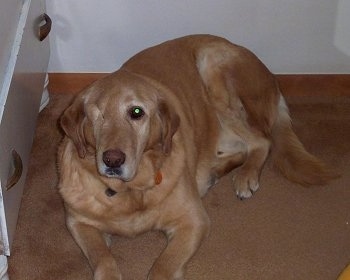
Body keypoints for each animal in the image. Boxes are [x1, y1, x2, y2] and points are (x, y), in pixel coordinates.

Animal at [58, 34, 336, 278]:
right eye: (97, 115)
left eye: (136, 112)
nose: (112, 160)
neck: (131, 192)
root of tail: (272, 78)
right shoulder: (79, 223)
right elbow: (103, 259)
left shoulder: (193, 220)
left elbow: (162, 268)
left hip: (212, 70)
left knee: (262, 140)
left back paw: (246, 175)